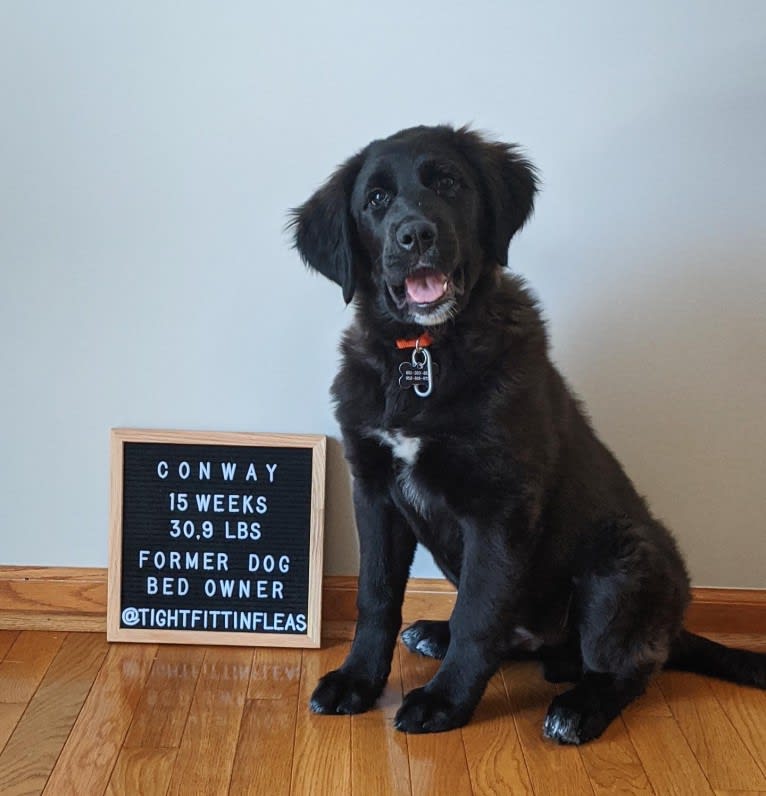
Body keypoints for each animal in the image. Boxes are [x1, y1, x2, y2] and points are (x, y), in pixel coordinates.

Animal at [290, 123, 766, 740]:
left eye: (449, 183)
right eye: (375, 200)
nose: (415, 235)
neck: (425, 355)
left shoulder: (500, 508)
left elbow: (478, 613)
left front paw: (444, 702)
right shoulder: (373, 491)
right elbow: (375, 597)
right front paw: (356, 680)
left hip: (623, 558)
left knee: (626, 665)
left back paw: (579, 708)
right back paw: (435, 633)